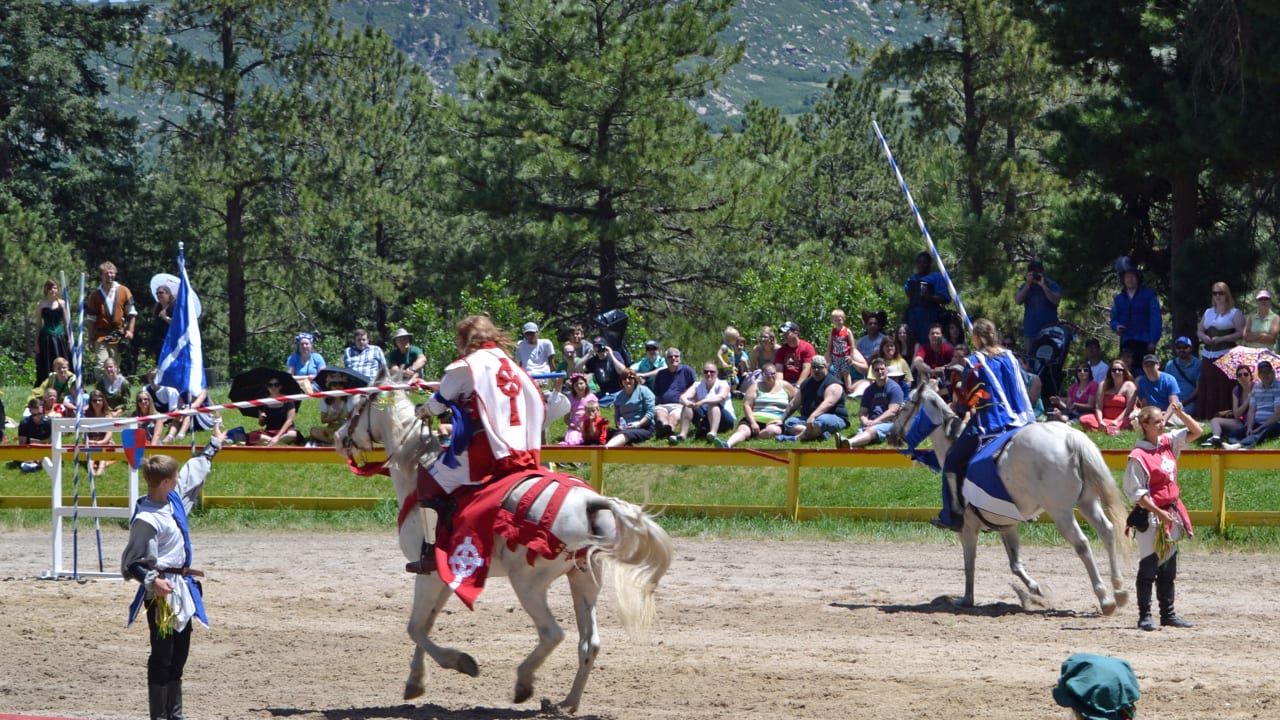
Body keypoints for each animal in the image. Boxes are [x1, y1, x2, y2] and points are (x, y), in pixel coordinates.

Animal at [335, 384, 675, 707]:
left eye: (357, 409)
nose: (339, 438)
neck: (417, 469)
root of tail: (591, 502)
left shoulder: (428, 574)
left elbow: (415, 627)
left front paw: (459, 662)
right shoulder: (443, 575)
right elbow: (425, 625)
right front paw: (415, 681)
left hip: (528, 583)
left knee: (552, 634)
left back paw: (524, 682)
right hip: (583, 580)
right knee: (589, 644)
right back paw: (567, 703)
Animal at [890, 381, 1131, 609]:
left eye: (903, 407)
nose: (892, 434)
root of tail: (1070, 438)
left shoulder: (967, 528)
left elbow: (969, 563)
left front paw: (966, 599)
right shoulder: (1007, 525)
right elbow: (1015, 564)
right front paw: (1035, 589)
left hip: (1061, 511)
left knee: (1081, 543)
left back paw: (1105, 599)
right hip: (1088, 502)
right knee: (1107, 532)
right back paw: (1119, 590)